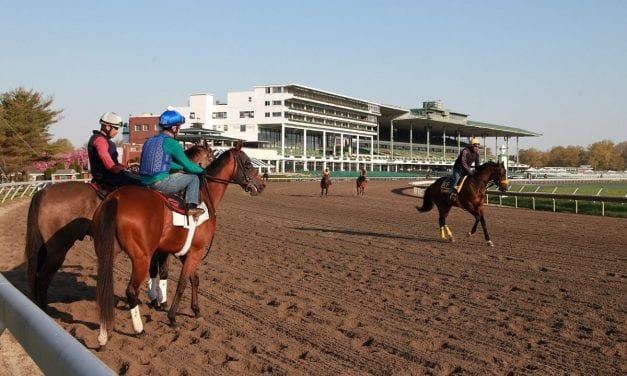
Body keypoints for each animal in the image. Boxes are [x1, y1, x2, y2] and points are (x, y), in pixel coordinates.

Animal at [24, 144, 213, 312]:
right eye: (211, 156)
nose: (206, 174)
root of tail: (43, 193)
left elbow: (154, 270)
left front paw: (156, 300)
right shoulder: (160, 247)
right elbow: (163, 271)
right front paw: (162, 302)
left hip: (45, 247)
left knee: (36, 275)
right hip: (58, 248)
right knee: (42, 279)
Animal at [93, 145, 264, 348]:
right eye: (247, 164)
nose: (262, 185)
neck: (204, 199)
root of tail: (115, 198)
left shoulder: (184, 253)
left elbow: (194, 279)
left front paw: (196, 310)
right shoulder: (195, 252)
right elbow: (182, 282)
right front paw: (172, 316)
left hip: (108, 252)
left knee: (103, 286)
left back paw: (103, 334)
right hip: (142, 258)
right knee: (131, 290)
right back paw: (139, 329)